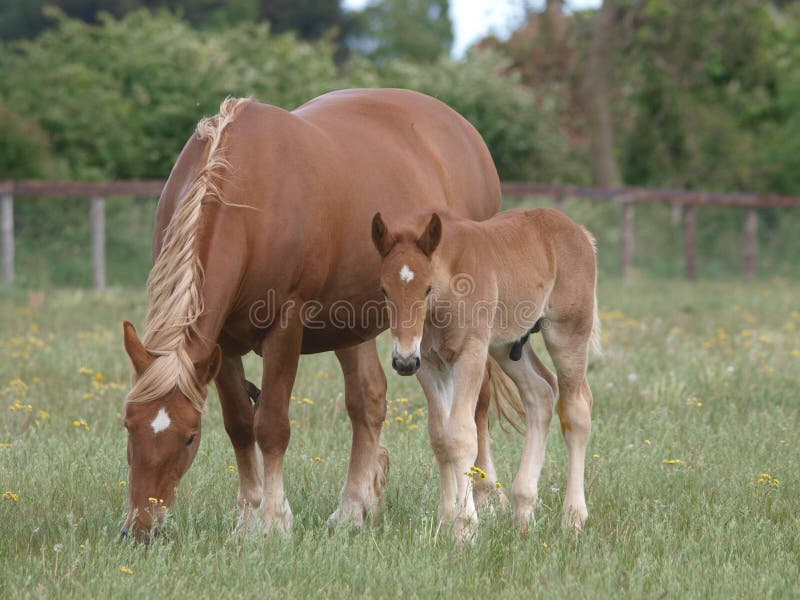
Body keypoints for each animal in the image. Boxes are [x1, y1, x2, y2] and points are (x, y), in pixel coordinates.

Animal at [119, 89, 501, 541]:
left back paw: (484, 499)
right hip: (353, 326)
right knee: (367, 402)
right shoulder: (220, 343)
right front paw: (248, 517)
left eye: (189, 438)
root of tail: (464, 131)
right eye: (128, 425)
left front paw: (273, 520)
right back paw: (352, 509)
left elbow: (271, 426)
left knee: (478, 404)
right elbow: (239, 425)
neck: (247, 191)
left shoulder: (286, 325)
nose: (141, 528)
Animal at [370, 208, 600, 541]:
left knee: (576, 410)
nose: (402, 361)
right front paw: (446, 519)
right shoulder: (428, 364)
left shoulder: (471, 356)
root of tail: (578, 230)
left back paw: (573, 518)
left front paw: (466, 528)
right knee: (541, 393)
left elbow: (461, 436)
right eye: (384, 290)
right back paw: (523, 510)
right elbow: (440, 436)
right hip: (507, 345)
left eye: (427, 288)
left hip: (567, 332)